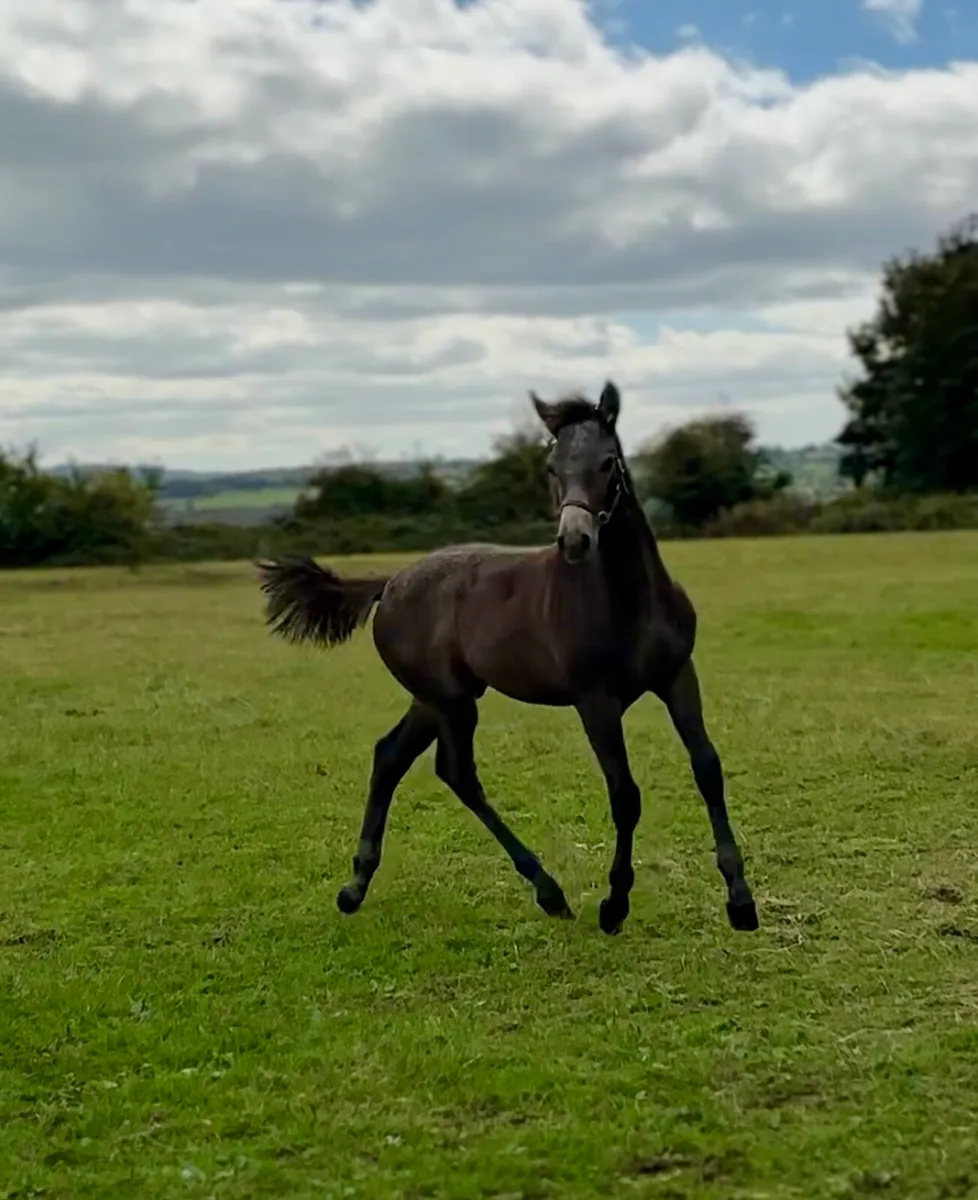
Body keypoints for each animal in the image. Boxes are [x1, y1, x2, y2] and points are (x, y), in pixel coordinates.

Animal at [256, 382, 758, 936]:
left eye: (608, 462)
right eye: (551, 467)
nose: (575, 539)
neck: (630, 599)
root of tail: (388, 583)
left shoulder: (677, 677)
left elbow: (707, 767)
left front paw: (741, 900)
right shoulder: (597, 702)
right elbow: (625, 795)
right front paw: (614, 904)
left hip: (436, 699)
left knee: (390, 756)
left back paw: (355, 887)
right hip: (451, 701)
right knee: (457, 773)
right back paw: (549, 891)